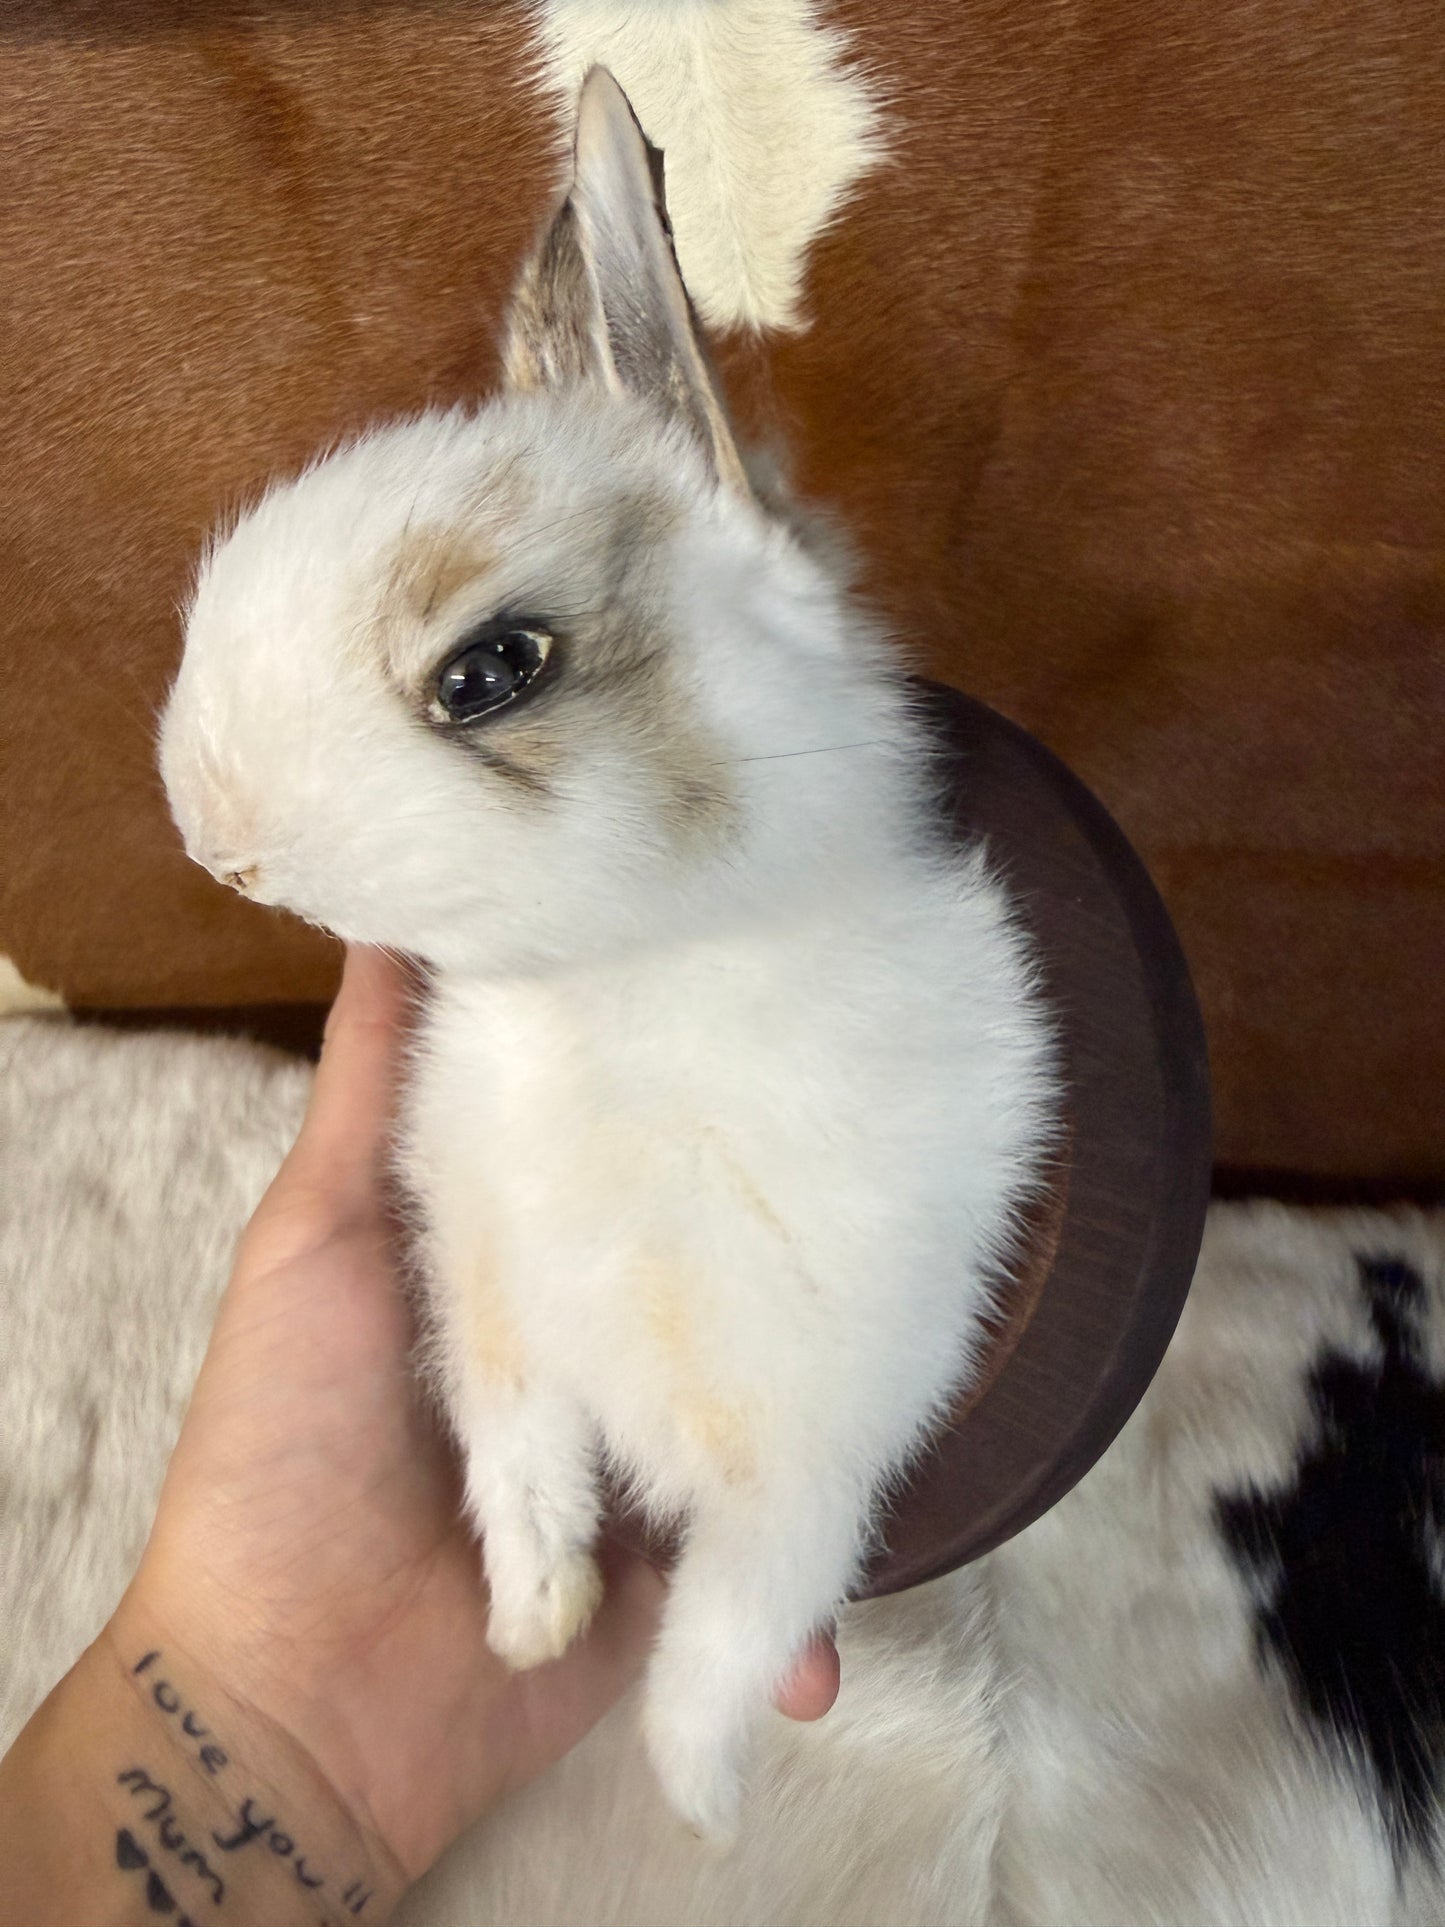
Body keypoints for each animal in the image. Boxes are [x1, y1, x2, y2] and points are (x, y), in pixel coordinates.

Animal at [159, 66, 1057, 1841]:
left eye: (491, 668)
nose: (218, 843)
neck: (617, 1004)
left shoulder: (819, 1433)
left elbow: (736, 1616)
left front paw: (692, 1797)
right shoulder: (496, 1321)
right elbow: (524, 1475)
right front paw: (532, 1621)